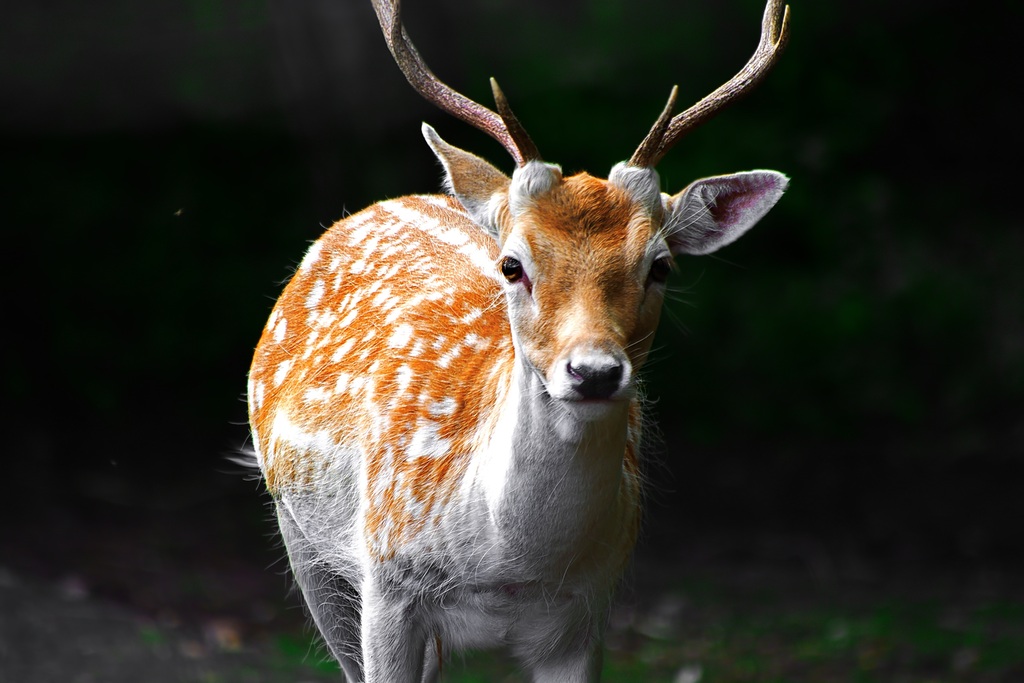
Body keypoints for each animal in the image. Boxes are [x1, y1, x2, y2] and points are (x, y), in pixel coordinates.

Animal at [247, 1, 790, 679]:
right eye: (512, 264)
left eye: (660, 265)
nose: (593, 372)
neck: (507, 566)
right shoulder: (387, 584)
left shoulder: (586, 612)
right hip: (301, 531)